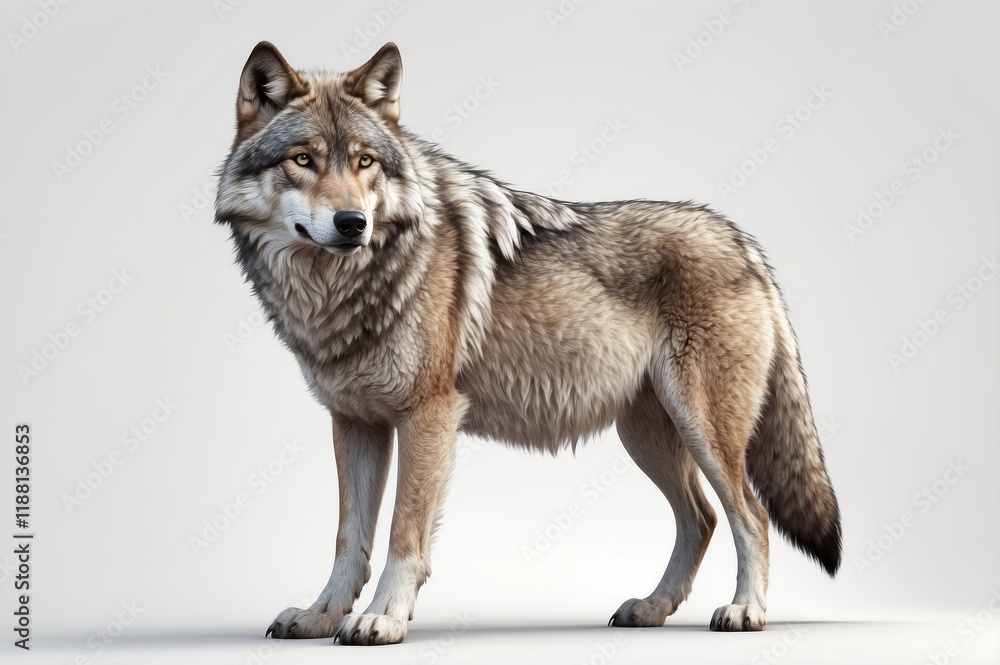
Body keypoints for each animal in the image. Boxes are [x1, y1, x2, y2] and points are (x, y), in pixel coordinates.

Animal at [214, 41, 841, 645]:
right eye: (304, 159)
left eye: (364, 161)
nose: (352, 223)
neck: (340, 289)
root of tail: (742, 239)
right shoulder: (355, 423)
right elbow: (349, 539)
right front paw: (320, 616)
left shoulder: (429, 415)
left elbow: (403, 535)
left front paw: (383, 620)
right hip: (646, 436)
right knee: (702, 519)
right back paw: (652, 607)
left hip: (702, 431)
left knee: (751, 517)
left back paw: (745, 611)